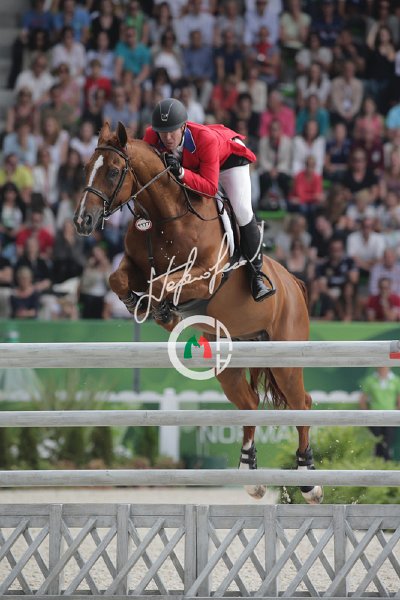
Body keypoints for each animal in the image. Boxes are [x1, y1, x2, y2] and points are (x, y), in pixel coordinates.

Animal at [73, 121, 323, 504]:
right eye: (87, 168)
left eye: (114, 171)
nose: (82, 221)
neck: (163, 218)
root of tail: (294, 282)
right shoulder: (133, 265)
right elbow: (120, 279)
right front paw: (144, 306)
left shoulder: (204, 277)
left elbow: (162, 284)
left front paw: (163, 311)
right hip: (228, 358)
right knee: (250, 403)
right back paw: (249, 474)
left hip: (285, 359)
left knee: (302, 404)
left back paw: (309, 481)